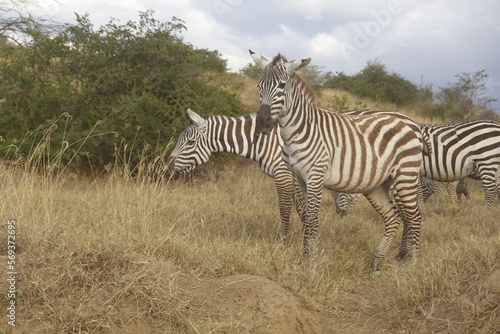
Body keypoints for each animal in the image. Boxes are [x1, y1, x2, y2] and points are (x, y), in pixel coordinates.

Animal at [252, 52, 424, 272]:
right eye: (259, 86)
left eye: (281, 86)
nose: (263, 122)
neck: (297, 132)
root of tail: (412, 122)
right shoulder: (298, 178)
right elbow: (305, 216)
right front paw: (305, 258)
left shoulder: (315, 176)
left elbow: (312, 220)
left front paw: (312, 265)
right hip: (377, 184)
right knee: (393, 218)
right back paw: (376, 263)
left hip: (405, 176)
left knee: (414, 217)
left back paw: (413, 265)